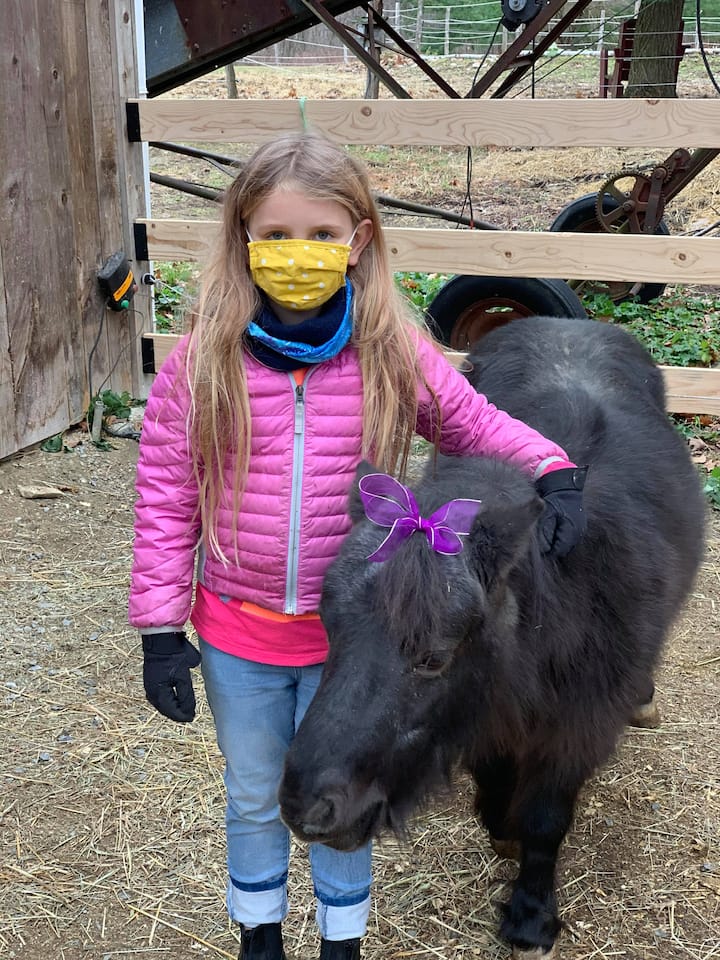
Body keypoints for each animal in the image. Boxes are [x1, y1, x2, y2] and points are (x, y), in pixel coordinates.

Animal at [279, 315, 706, 957]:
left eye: (433, 658)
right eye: (332, 627)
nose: (308, 807)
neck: (567, 599)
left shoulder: (576, 728)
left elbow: (545, 819)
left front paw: (532, 917)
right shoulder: (484, 716)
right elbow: (498, 793)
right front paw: (501, 828)